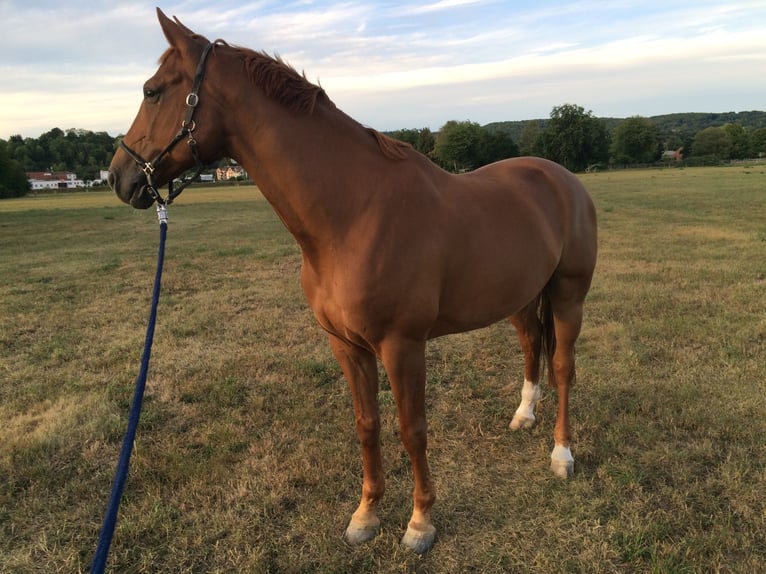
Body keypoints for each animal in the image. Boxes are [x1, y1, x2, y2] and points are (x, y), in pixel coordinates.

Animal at [108, 9, 597, 554]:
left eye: (152, 91)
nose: (118, 176)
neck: (355, 214)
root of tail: (562, 178)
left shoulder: (403, 345)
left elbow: (411, 429)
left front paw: (420, 522)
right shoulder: (345, 344)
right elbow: (367, 425)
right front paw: (366, 515)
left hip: (569, 297)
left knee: (562, 367)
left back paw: (561, 455)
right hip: (520, 298)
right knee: (532, 345)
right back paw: (524, 416)